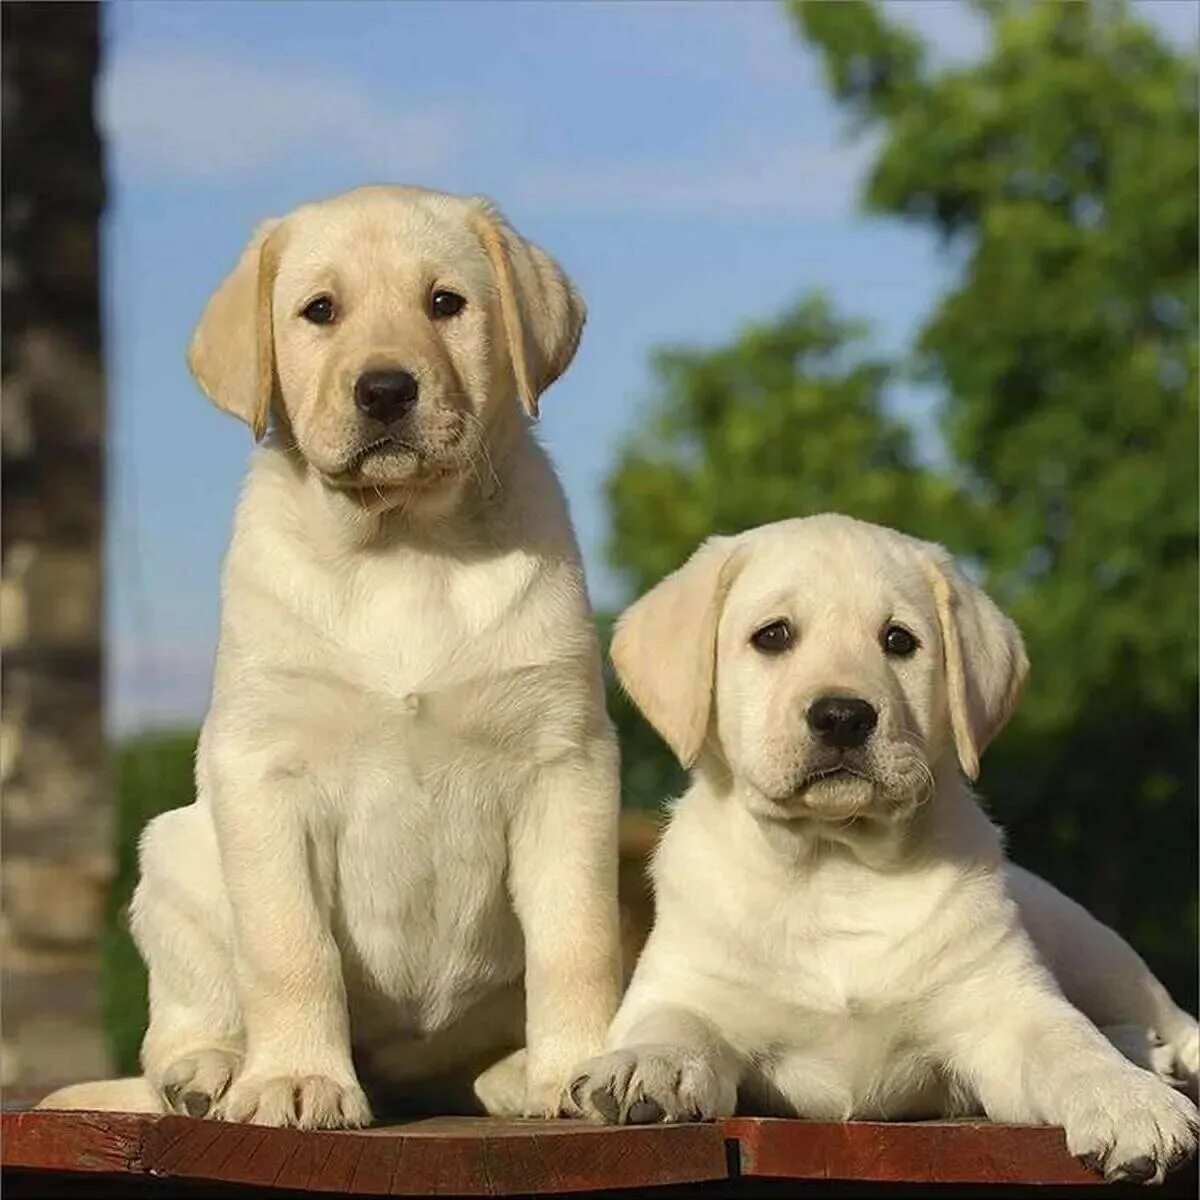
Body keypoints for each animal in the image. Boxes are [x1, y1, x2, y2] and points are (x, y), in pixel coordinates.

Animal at [39, 184, 619, 1123]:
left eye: (446, 303)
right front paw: (296, 1078)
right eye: (320, 311)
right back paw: (209, 1074)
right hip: (173, 860)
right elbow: (290, 948)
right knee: (175, 1034)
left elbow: (577, 938)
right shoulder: (265, 770)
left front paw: (580, 1067)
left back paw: (512, 1073)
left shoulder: (565, 760)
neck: (403, 546)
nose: (385, 389)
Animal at [566, 513, 1195, 1180]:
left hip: (1099, 952)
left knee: (1163, 1022)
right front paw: (642, 1064)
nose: (843, 715)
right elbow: (670, 1021)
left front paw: (1128, 1099)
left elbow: (1067, 1040)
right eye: (773, 636)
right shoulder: (688, 984)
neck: (836, 864)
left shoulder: (1003, 1005)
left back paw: (1149, 1056)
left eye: (899, 641)